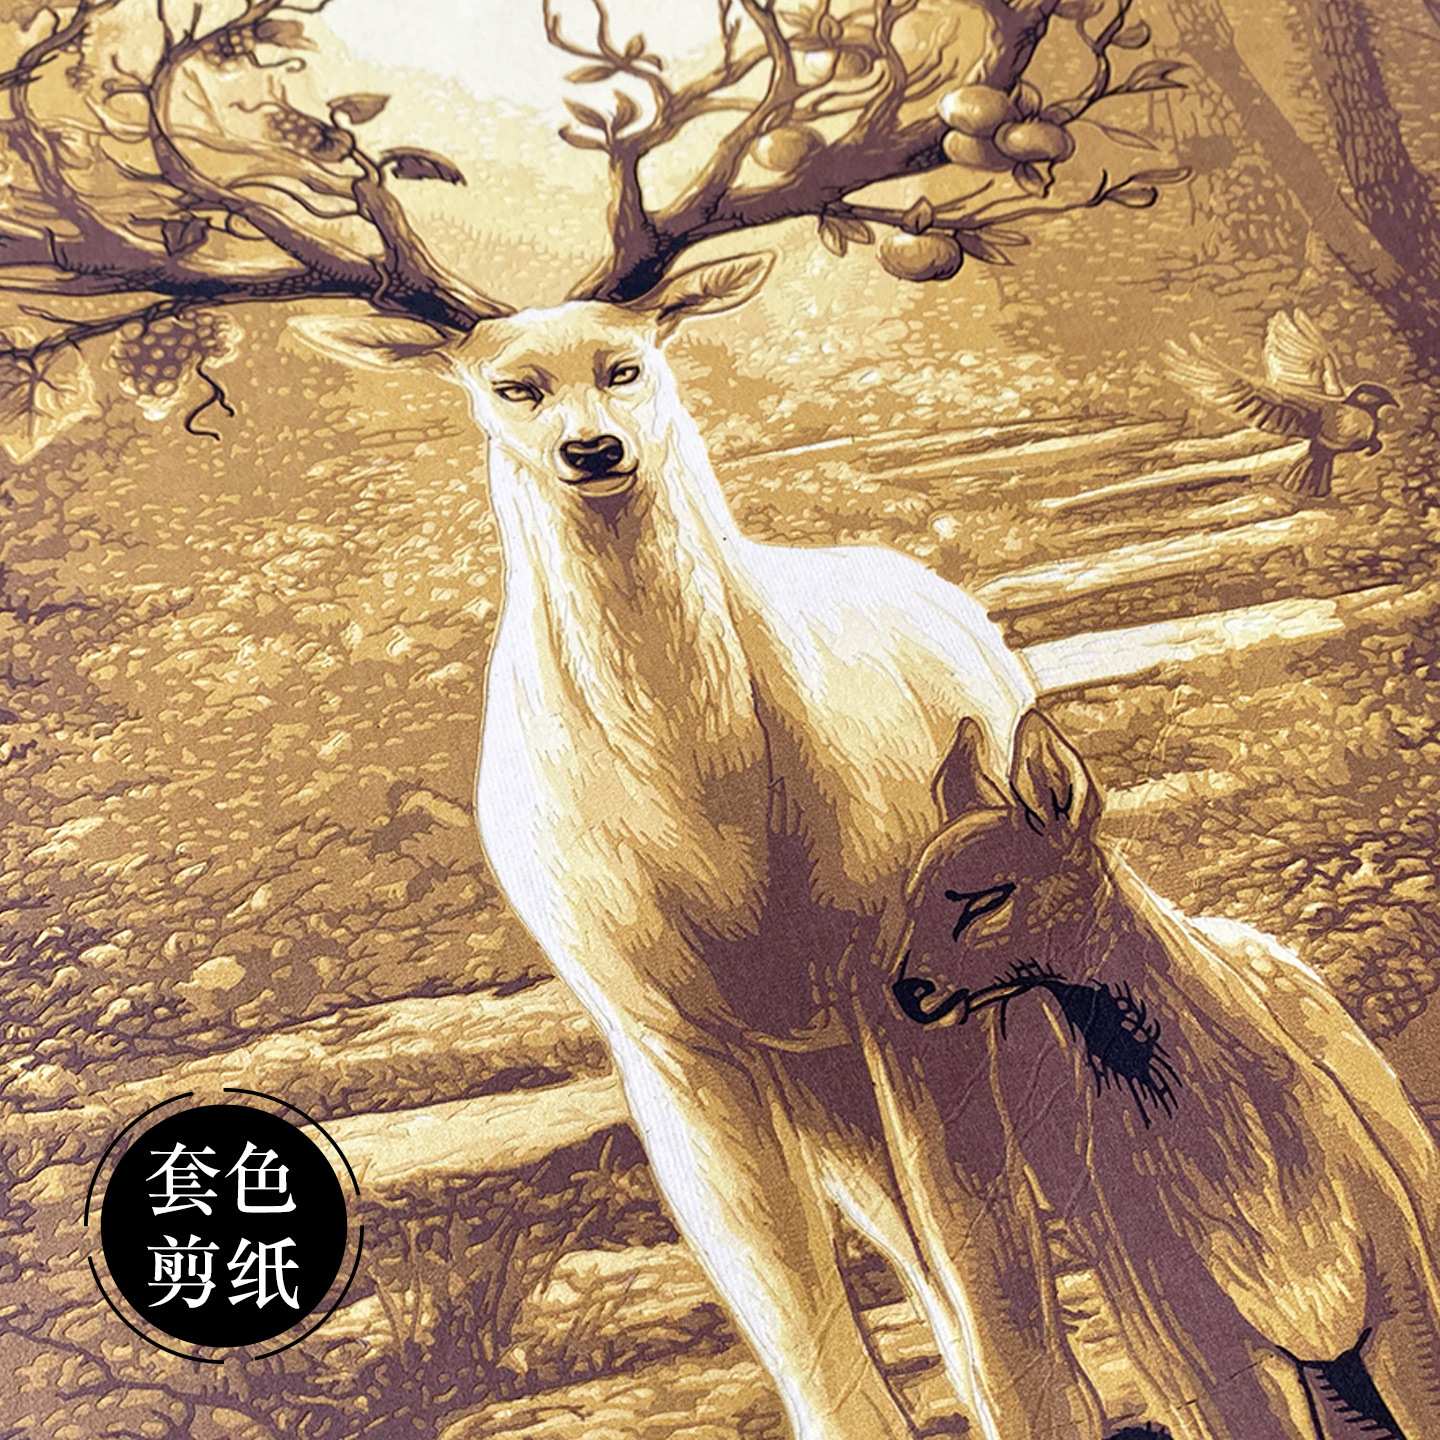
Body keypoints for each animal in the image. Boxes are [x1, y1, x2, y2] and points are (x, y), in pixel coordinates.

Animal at [0, 1, 1196, 1434]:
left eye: (627, 362)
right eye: (508, 386)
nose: (592, 449)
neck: (722, 844)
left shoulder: (899, 980)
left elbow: (997, 1279)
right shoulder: (661, 1034)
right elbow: (796, 1319)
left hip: (966, 997)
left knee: (1026, 1230)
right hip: (817, 1078)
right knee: (913, 1261)